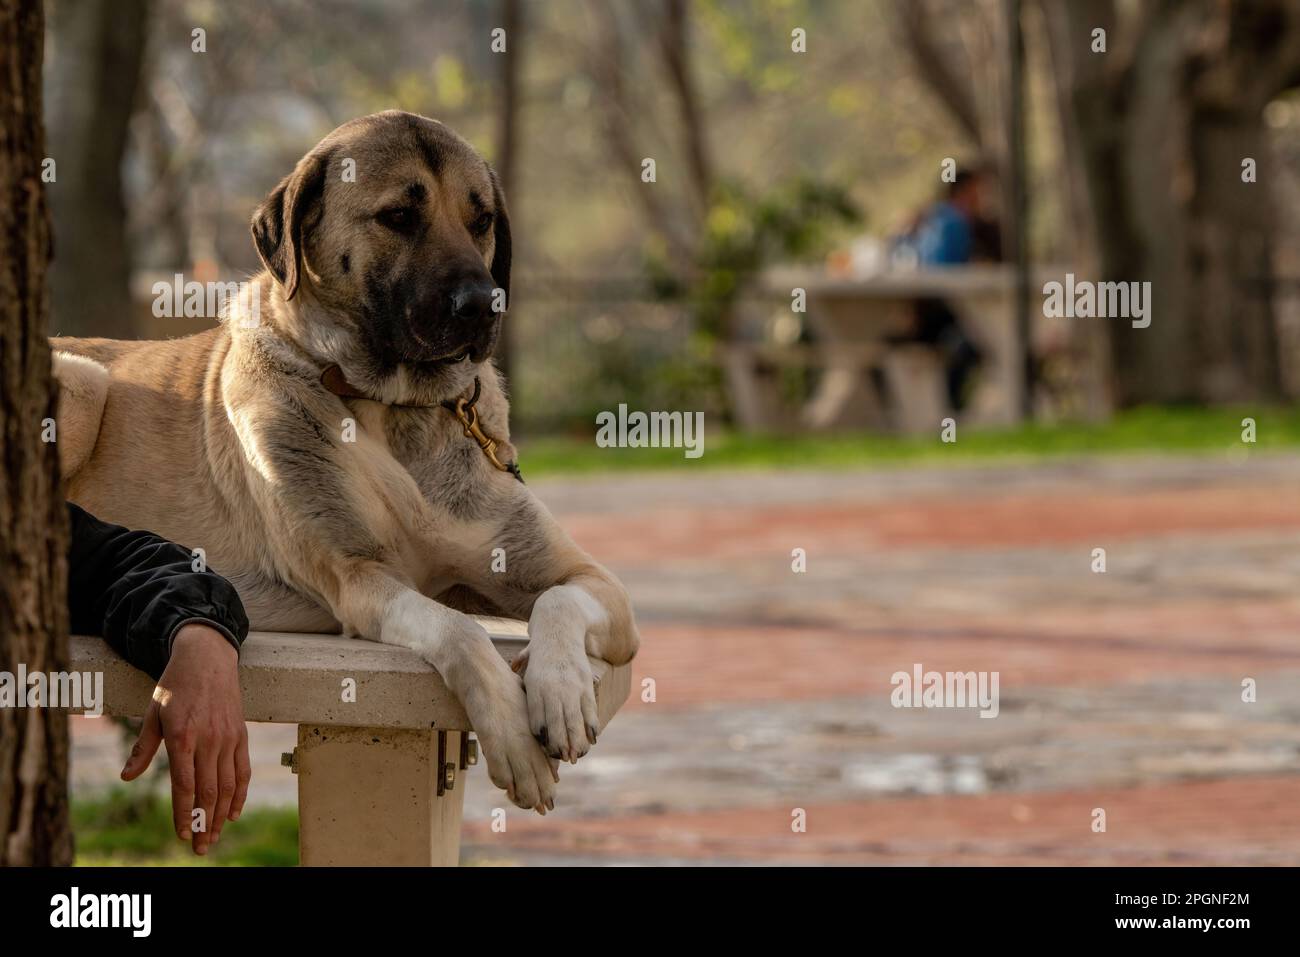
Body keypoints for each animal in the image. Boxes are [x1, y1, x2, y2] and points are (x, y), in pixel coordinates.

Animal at [54, 111, 639, 816]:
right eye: (398, 216)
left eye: (481, 220)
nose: (482, 303)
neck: (396, 406)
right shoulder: (360, 580)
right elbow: (461, 631)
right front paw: (516, 740)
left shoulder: (594, 582)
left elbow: (557, 598)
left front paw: (560, 691)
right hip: (83, 382)